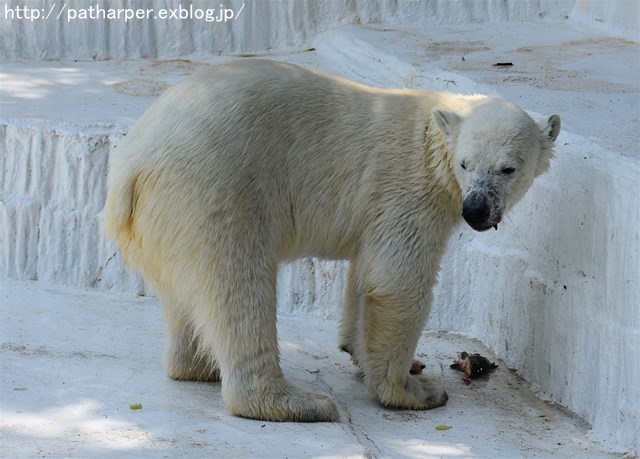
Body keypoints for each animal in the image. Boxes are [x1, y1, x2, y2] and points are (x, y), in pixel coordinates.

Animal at [105, 59, 560, 422]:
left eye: (507, 169)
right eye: (466, 164)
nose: (475, 211)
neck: (431, 136)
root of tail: (131, 164)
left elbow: (365, 274)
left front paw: (359, 351)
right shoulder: (407, 190)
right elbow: (398, 283)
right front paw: (413, 390)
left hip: (165, 217)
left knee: (185, 293)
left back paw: (200, 366)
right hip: (213, 184)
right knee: (237, 283)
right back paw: (294, 402)